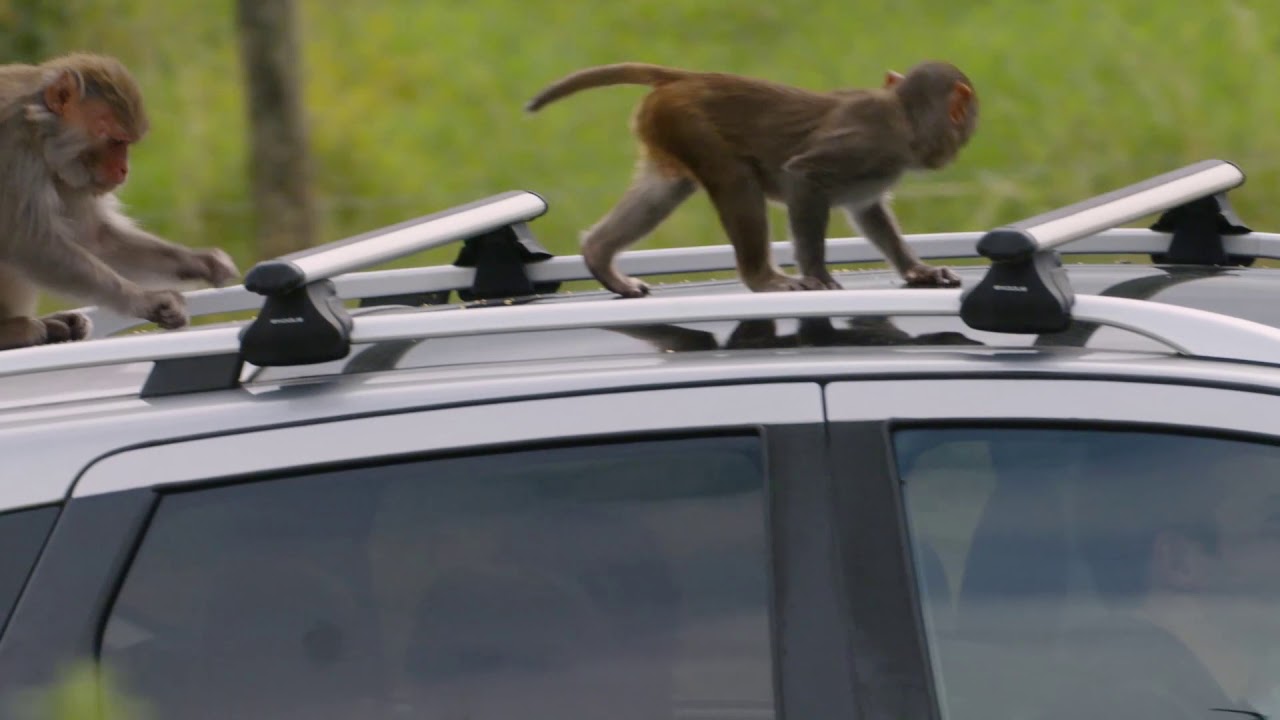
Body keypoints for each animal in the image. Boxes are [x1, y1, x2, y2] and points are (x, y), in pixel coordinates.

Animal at [0, 51, 240, 348]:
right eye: (116, 141)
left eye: (127, 143)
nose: (124, 170)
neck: (38, 129)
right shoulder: (11, 149)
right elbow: (26, 242)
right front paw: (145, 300)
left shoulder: (69, 174)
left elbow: (93, 236)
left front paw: (201, 262)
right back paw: (12, 331)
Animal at [527, 60, 977, 295]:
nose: (960, 144)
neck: (904, 121)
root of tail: (687, 77)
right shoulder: (865, 144)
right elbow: (804, 176)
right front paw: (817, 275)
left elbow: (868, 210)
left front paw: (917, 271)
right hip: (689, 122)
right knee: (735, 180)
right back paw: (763, 280)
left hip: (667, 125)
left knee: (665, 190)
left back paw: (599, 258)